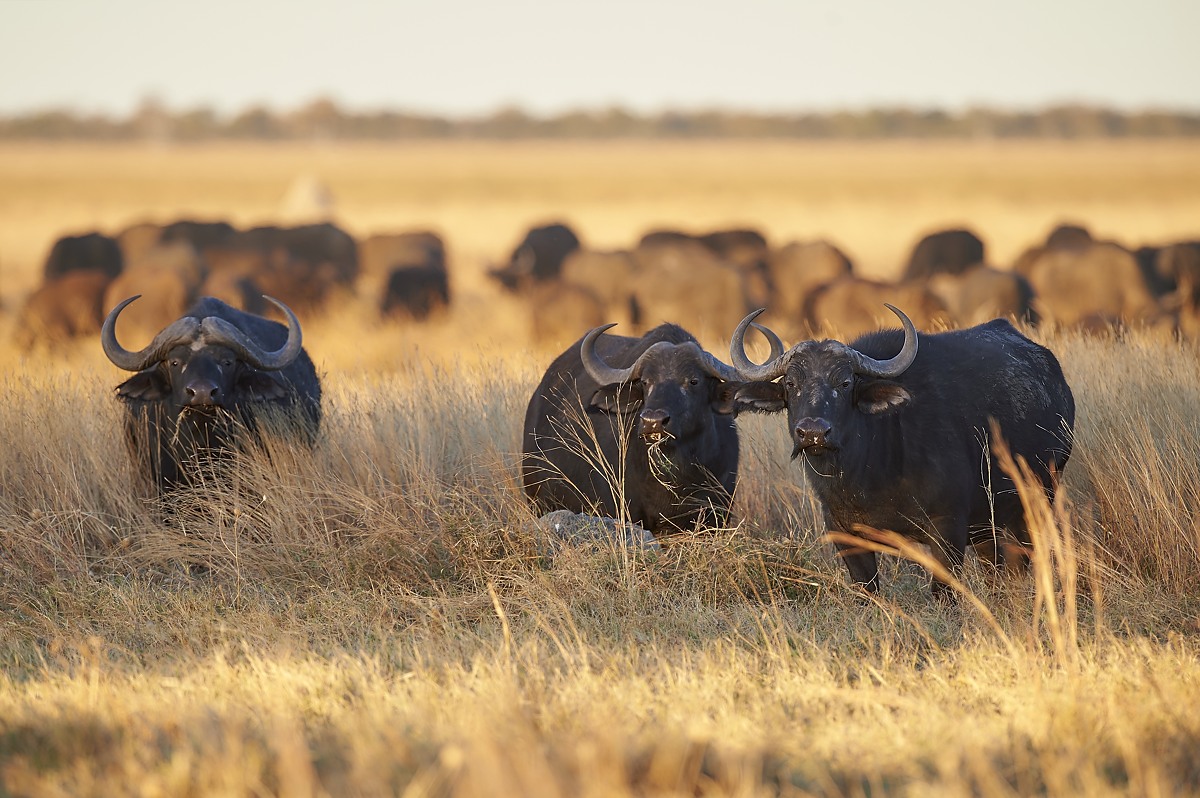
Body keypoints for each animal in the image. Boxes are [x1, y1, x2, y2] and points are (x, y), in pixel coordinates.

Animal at [729, 304, 1080, 597]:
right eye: (791, 383)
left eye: (844, 383)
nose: (813, 432)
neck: (867, 477)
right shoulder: (844, 534)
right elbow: (868, 591)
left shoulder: (947, 528)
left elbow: (943, 592)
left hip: (1036, 501)